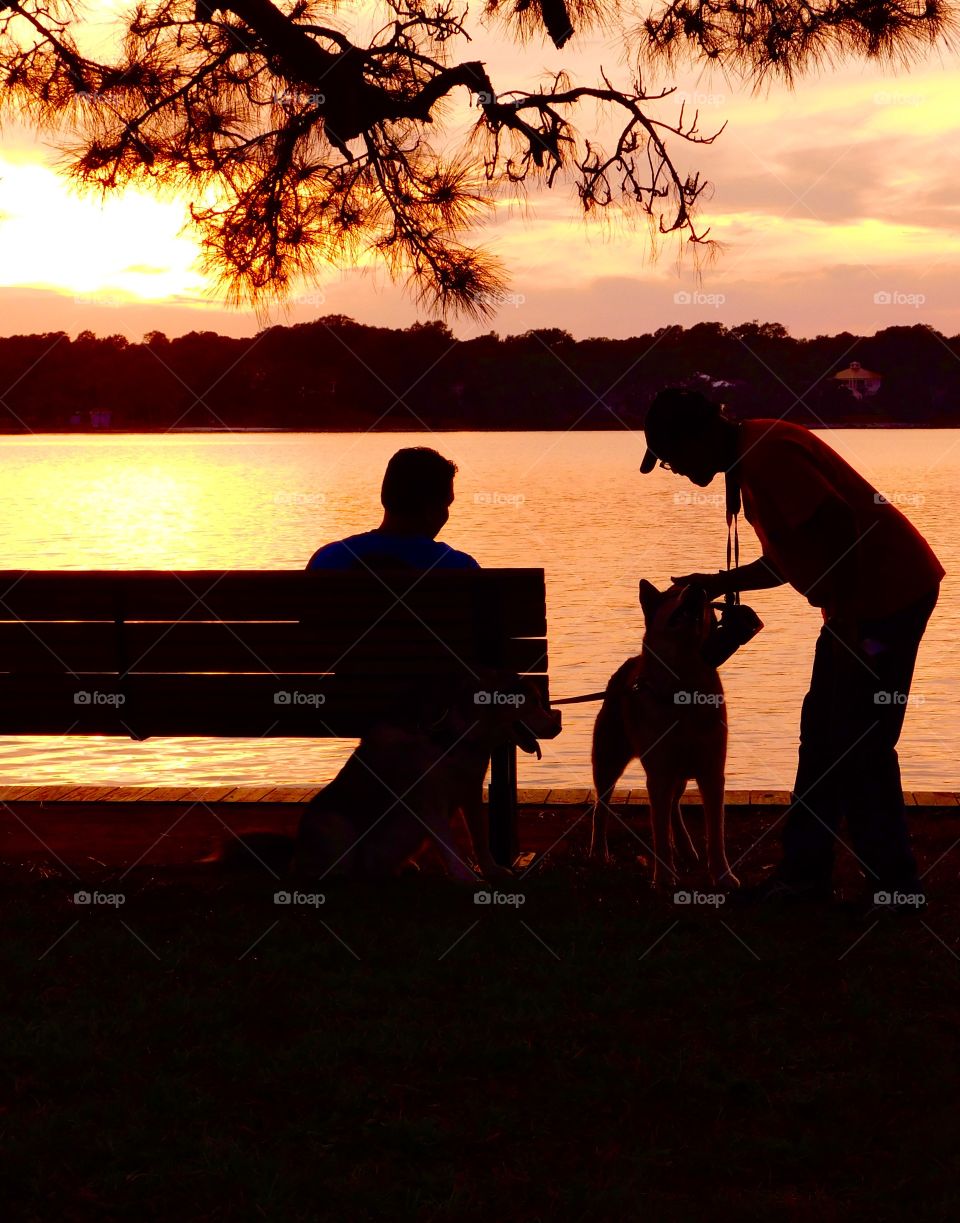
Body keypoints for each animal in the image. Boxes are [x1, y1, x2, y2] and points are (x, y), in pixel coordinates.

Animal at [217, 670, 562, 880]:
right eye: (532, 702)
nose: (557, 725)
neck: (455, 736)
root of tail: (295, 853)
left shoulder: (470, 792)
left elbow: (479, 838)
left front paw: (491, 869)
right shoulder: (430, 804)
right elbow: (449, 846)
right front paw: (467, 879)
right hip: (335, 825)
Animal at [587, 582, 738, 890]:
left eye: (705, 596)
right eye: (671, 594)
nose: (698, 586)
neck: (685, 690)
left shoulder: (712, 772)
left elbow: (715, 833)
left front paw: (722, 875)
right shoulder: (659, 774)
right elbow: (659, 832)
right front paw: (665, 877)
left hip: (679, 774)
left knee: (674, 807)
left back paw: (686, 847)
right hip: (608, 762)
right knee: (601, 809)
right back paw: (599, 852)